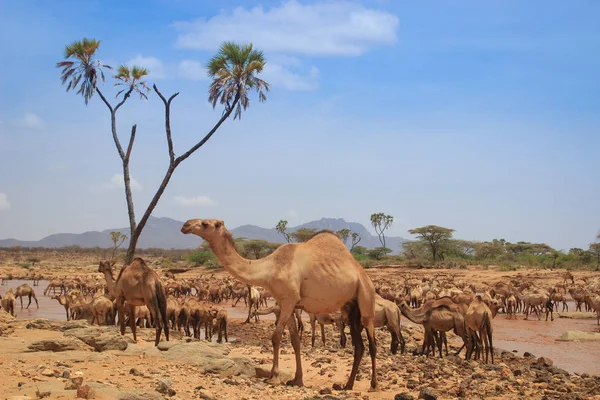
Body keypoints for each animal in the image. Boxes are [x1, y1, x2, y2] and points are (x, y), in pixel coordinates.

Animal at [182, 219, 380, 390]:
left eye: (205, 223)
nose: (185, 225)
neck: (269, 268)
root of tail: (363, 275)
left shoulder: (288, 300)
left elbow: (276, 337)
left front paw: (274, 377)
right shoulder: (289, 304)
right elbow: (295, 341)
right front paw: (297, 379)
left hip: (366, 297)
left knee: (372, 343)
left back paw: (373, 384)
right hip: (350, 307)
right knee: (359, 345)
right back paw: (348, 385)